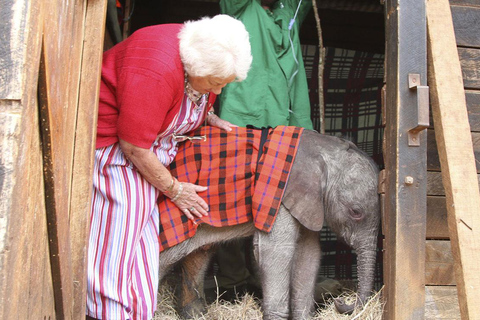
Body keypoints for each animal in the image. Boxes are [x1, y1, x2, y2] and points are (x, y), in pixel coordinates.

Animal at [159, 129, 380, 318]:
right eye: (356, 212)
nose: (341, 301)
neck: (323, 147)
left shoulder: (308, 201)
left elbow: (309, 253)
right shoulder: (280, 195)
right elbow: (277, 251)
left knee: (198, 256)